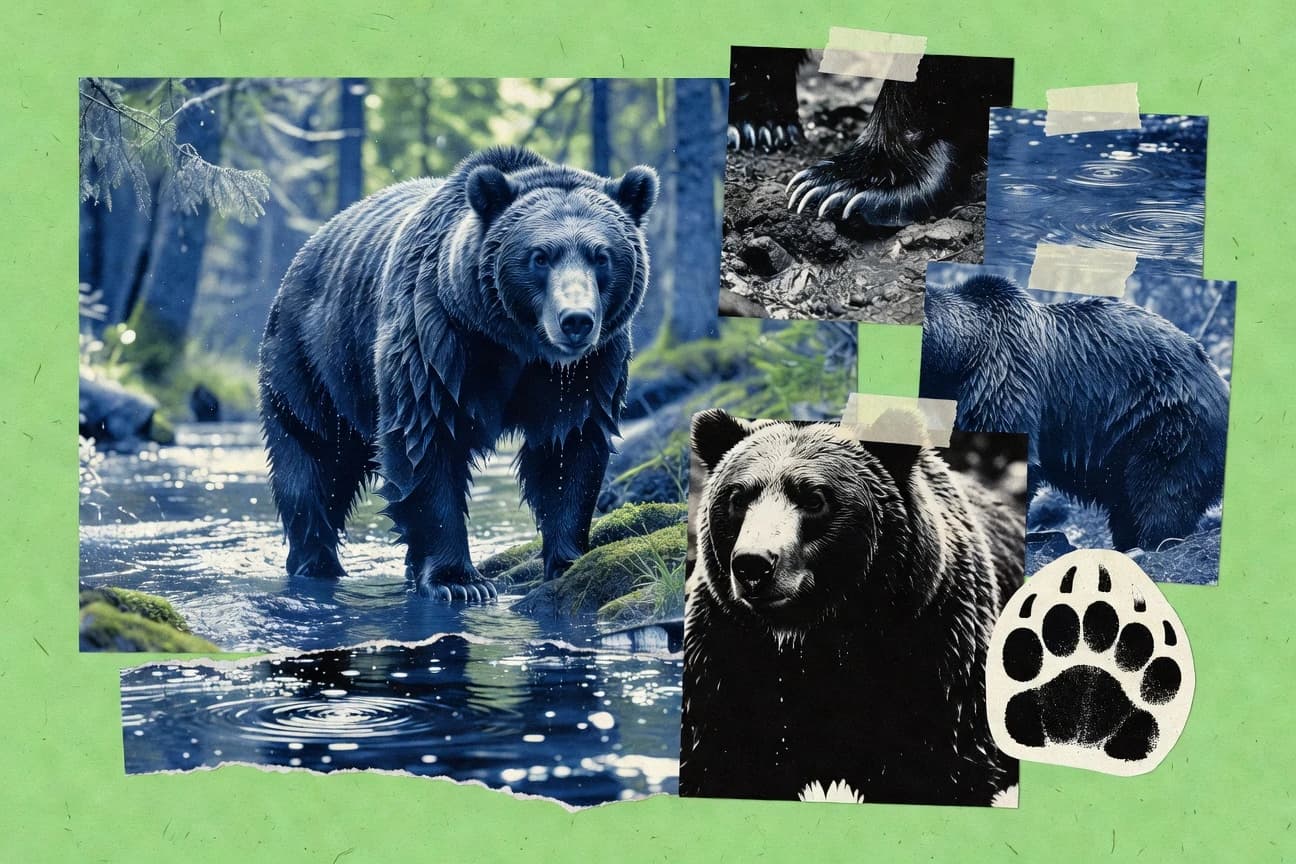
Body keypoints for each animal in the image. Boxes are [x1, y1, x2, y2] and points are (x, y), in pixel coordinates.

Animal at [258, 145, 659, 601]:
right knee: (314, 460)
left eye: (601, 256)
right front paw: (459, 581)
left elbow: (569, 448)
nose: (576, 320)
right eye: (540, 256)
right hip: (314, 359)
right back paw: (317, 563)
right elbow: (427, 441)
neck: (515, 342)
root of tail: (309, 246)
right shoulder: (438, 342)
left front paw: (568, 560)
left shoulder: (585, 370)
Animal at [679, 409, 1024, 805]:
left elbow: (944, 770)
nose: (753, 564)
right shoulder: (724, 656)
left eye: (814, 498)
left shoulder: (938, 653)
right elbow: (719, 762)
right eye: (738, 497)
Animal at [919, 272, 1230, 552]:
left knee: (1161, 485)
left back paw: (1150, 543)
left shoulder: (1003, 379)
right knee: (1126, 500)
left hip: (1170, 419)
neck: (961, 356)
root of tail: (1219, 379)